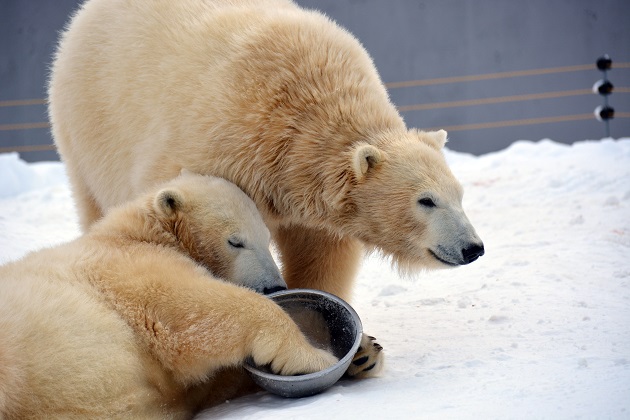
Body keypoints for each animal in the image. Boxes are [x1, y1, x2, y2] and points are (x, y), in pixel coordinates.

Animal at [50, 0, 484, 306]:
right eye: (425, 200)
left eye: (459, 195)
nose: (472, 248)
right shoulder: (219, 142)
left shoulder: (309, 193)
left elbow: (322, 254)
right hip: (85, 123)